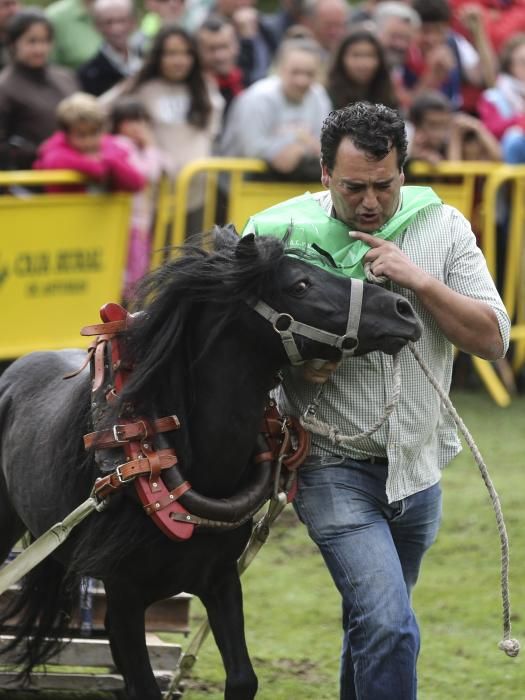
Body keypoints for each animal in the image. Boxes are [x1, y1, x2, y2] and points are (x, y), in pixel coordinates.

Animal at [0, 227, 420, 696]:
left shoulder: (220, 580)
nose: (403, 308)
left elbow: (242, 678)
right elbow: (143, 685)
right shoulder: (124, 600)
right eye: (300, 285)